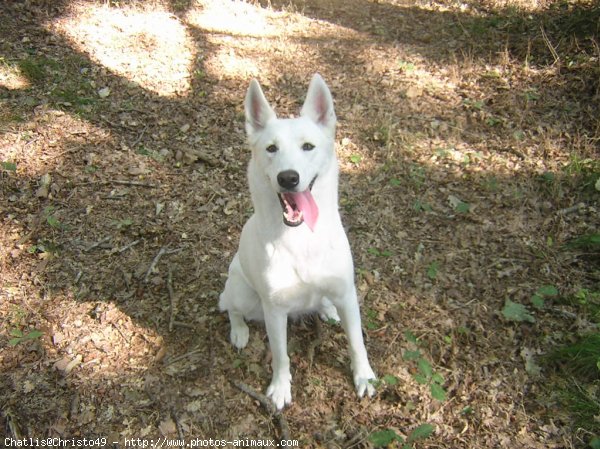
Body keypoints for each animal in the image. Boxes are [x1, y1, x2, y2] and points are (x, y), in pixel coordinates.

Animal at [220, 72, 376, 408]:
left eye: (308, 146)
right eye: (271, 149)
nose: (288, 178)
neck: (301, 238)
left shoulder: (347, 293)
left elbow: (357, 341)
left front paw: (364, 376)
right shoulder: (275, 311)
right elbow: (281, 357)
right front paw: (280, 388)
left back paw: (327, 310)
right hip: (243, 293)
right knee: (231, 308)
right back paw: (239, 331)